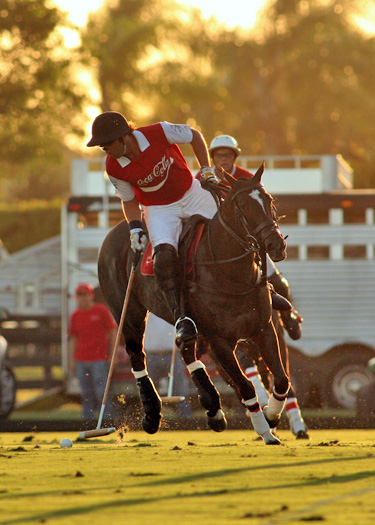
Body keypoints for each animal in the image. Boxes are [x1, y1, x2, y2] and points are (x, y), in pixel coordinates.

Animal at [97, 166, 290, 444]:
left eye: (270, 201)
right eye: (243, 206)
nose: (276, 245)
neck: (230, 271)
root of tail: (115, 231)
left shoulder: (263, 329)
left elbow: (282, 380)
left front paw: (271, 415)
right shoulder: (219, 339)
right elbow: (245, 384)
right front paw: (265, 429)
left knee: (186, 347)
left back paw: (213, 409)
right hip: (128, 310)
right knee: (137, 353)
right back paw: (152, 414)